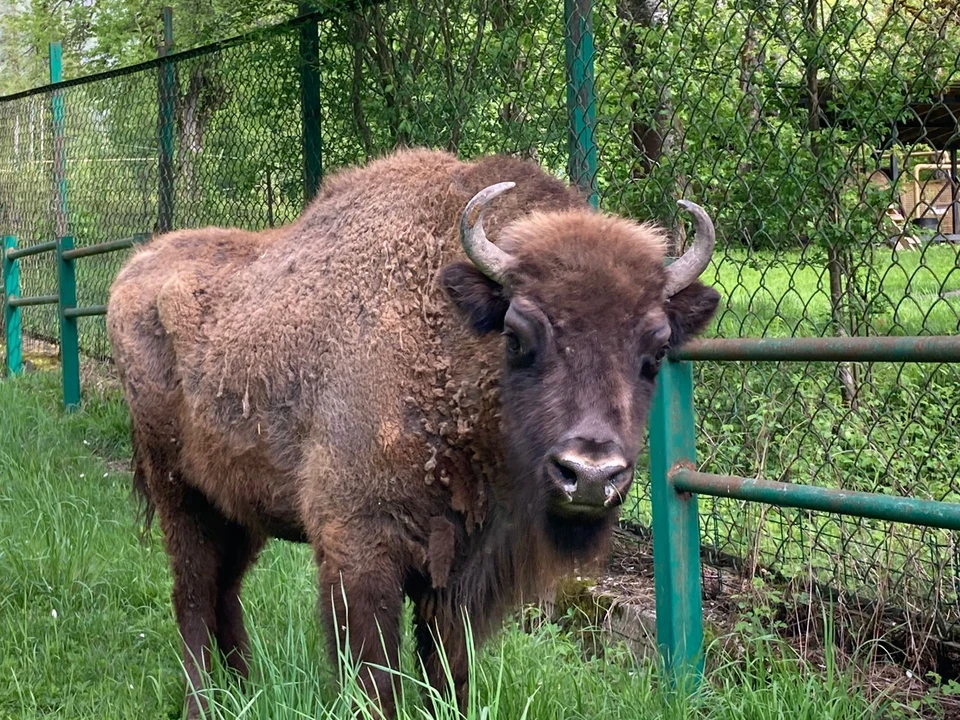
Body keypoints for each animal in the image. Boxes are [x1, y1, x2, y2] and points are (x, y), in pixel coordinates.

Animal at [107, 146, 720, 716]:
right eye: (518, 336)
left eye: (655, 352)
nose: (590, 475)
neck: (448, 343)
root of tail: (134, 270)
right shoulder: (360, 551)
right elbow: (376, 678)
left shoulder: (461, 574)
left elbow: (447, 673)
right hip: (178, 492)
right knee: (193, 594)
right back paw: (202, 703)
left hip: (238, 505)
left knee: (225, 591)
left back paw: (244, 690)